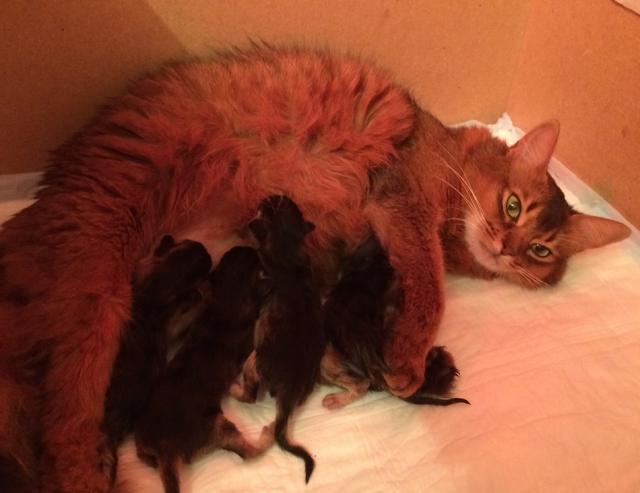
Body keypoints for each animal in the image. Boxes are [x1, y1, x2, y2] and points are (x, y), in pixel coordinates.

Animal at [134, 246, 272, 493]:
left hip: (143, 448)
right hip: (217, 426)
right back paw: (268, 433)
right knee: (249, 452)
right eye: (255, 258)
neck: (228, 296)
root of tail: (164, 448)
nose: (249, 246)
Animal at [236, 195, 324, 483]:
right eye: (284, 202)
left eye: (271, 205)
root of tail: (289, 391)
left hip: (253, 361)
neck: (289, 259)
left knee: (250, 396)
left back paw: (233, 389)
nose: (273, 195)